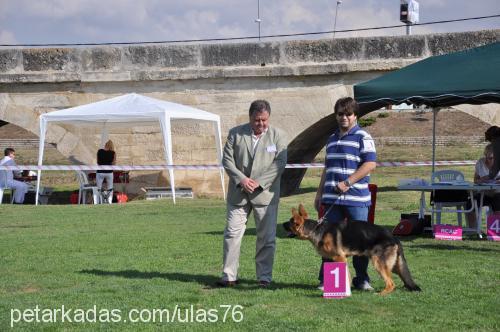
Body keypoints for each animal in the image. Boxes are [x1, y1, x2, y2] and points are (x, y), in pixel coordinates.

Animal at [286, 205, 422, 296]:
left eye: (289, 222)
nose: (282, 224)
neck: (316, 229)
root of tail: (394, 237)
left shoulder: (340, 258)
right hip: (394, 266)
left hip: (379, 263)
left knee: (391, 283)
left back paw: (381, 294)